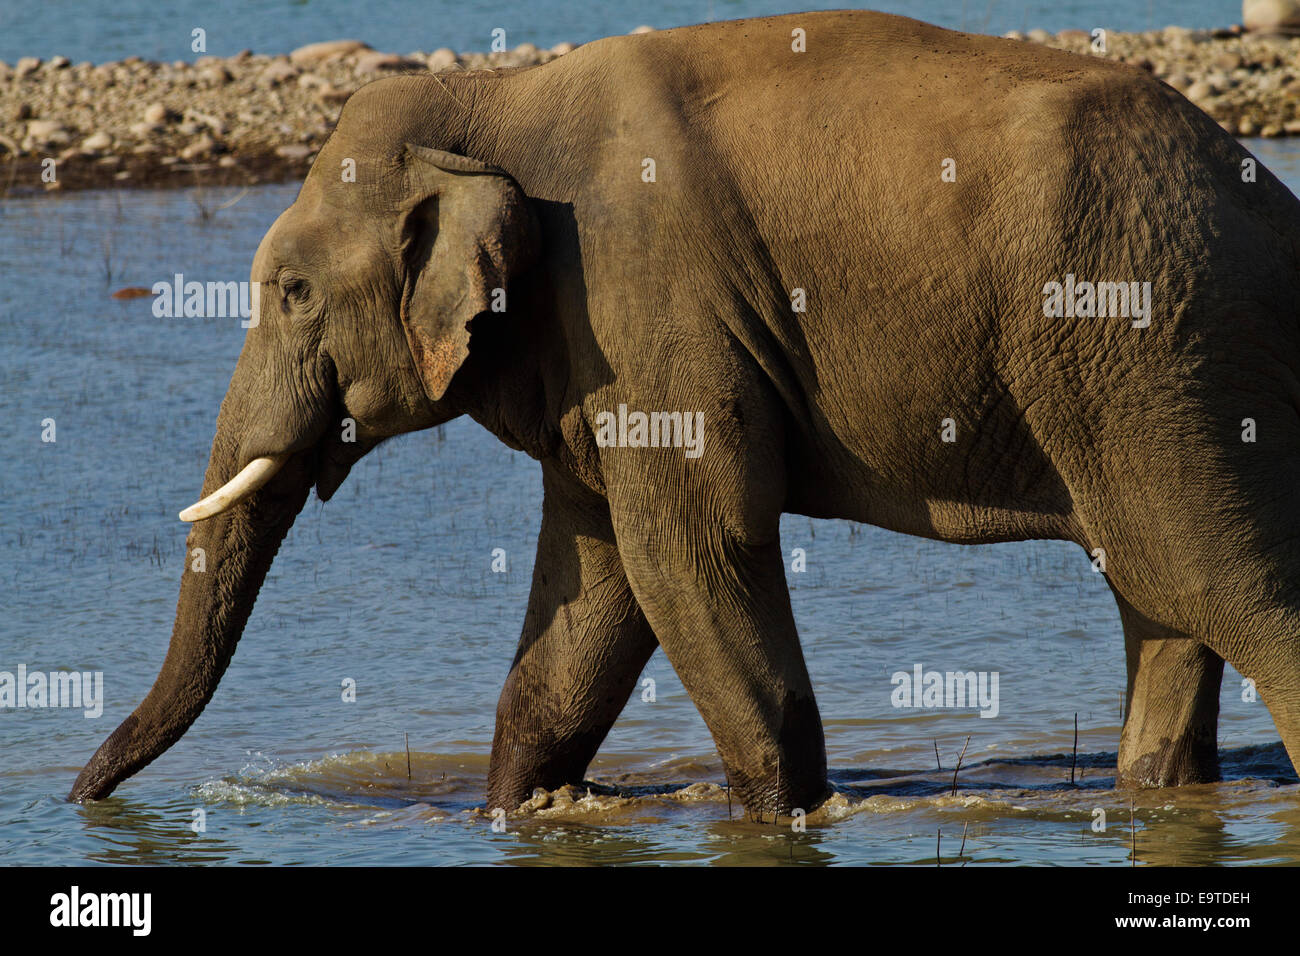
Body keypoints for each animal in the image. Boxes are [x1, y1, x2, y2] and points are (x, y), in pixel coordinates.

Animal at [73, 11, 1300, 811]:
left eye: (289, 290)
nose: (83, 796)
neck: (503, 102)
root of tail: (1267, 198)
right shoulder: (589, 351)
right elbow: (597, 578)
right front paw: (519, 814)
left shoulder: (645, 299)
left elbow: (687, 553)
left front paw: (786, 816)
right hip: (1141, 376)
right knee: (1158, 598)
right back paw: (1156, 792)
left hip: (1151, 342)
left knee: (1219, 587)